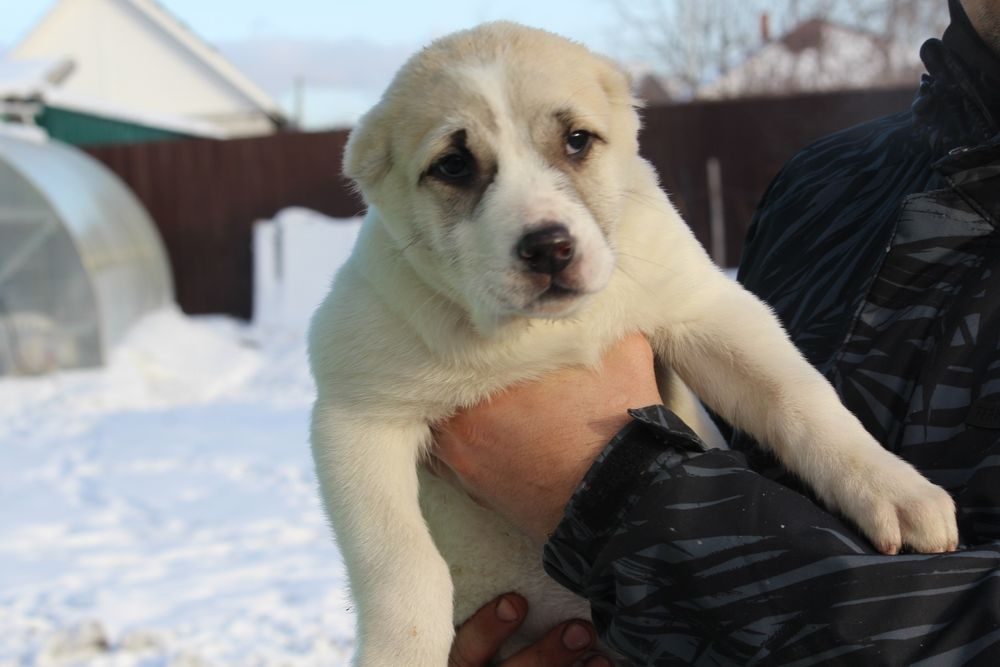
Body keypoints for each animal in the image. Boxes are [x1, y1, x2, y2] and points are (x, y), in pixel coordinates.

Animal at [306, 20, 960, 667]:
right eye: (452, 166)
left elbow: (803, 401)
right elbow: (400, 564)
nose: (549, 248)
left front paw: (894, 488)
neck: (538, 332)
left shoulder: (709, 312)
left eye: (576, 140)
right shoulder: (356, 417)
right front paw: (399, 651)